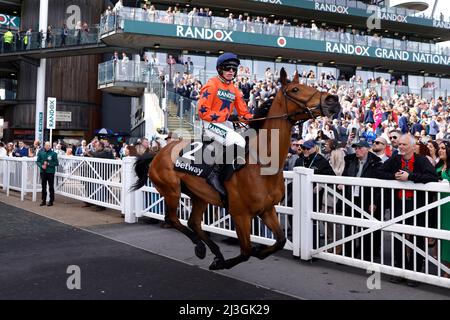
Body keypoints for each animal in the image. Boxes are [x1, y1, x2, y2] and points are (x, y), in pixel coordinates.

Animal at [132, 69, 340, 270]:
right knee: (172, 218)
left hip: (198, 195)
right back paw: (201, 248)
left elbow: (280, 240)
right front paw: (226, 262)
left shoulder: (267, 209)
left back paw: (213, 251)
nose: (333, 100)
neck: (262, 164)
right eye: (295, 90)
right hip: (171, 190)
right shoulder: (240, 214)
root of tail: (158, 153)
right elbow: (246, 251)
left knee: (193, 222)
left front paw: (257, 252)